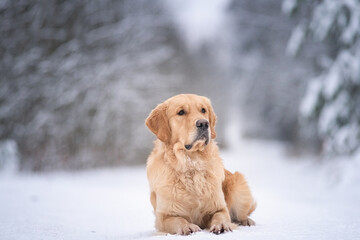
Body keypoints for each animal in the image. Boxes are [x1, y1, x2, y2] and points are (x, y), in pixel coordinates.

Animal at [145, 93, 255, 234]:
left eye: (203, 110)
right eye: (181, 112)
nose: (203, 123)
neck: (192, 163)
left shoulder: (219, 207)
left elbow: (220, 215)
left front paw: (221, 225)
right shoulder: (164, 216)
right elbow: (178, 220)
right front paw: (187, 226)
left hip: (239, 184)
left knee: (242, 214)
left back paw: (247, 221)